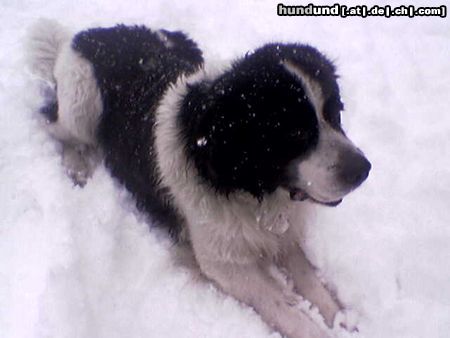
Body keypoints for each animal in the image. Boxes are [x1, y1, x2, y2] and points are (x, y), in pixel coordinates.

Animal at [28, 19, 370, 338]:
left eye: (334, 114)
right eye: (296, 134)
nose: (363, 170)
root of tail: (90, 34)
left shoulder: (282, 233)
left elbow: (309, 277)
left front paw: (342, 318)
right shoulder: (220, 261)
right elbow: (277, 303)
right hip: (81, 105)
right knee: (51, 123)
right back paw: (76, 166)